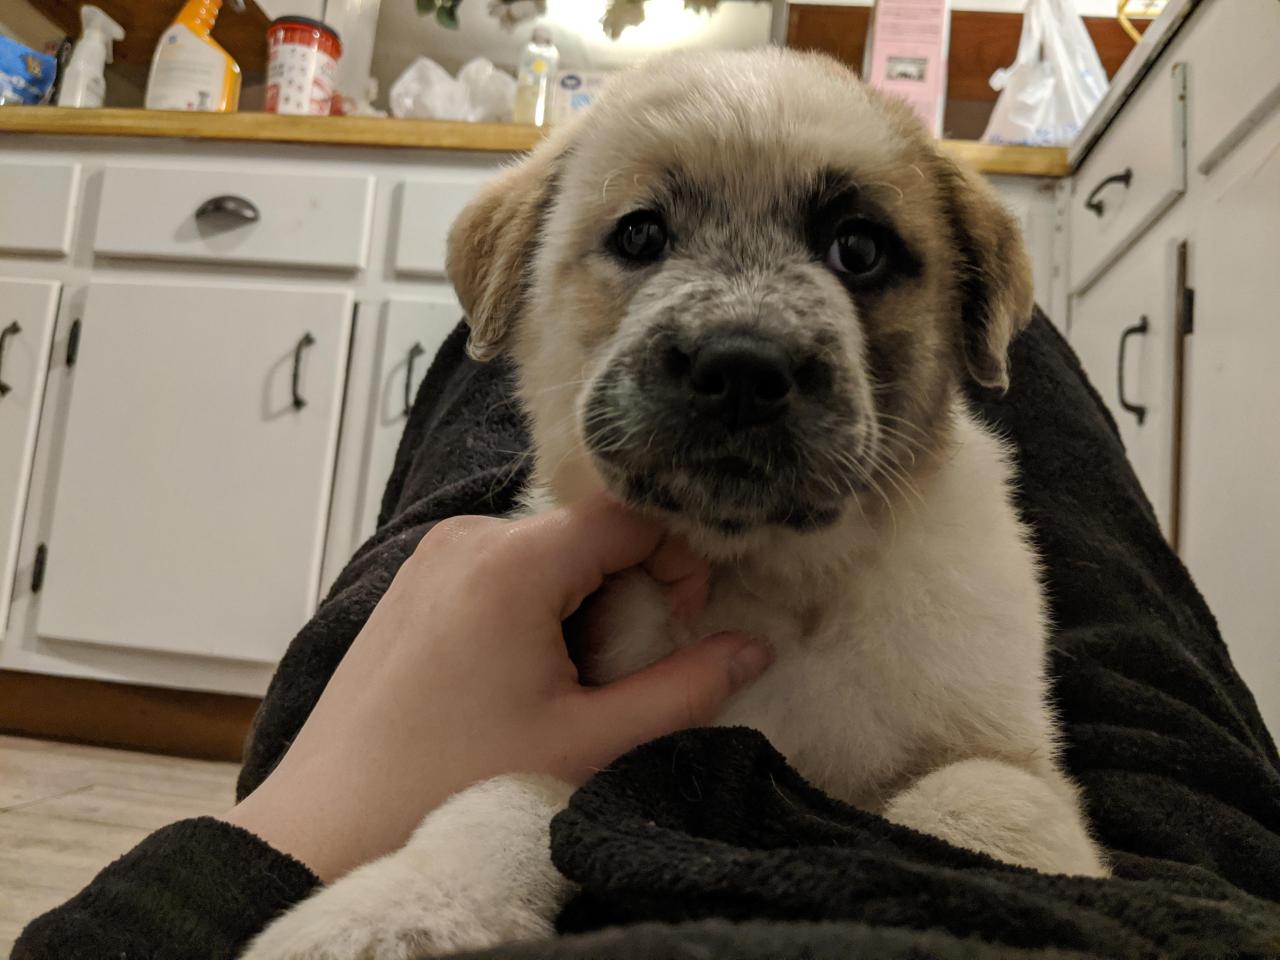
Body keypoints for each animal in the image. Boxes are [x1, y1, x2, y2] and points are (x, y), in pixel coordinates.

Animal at [244, 48, 1105, 960]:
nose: (741, 366)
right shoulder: (586, 733)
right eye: (641, 236)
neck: (763, 581)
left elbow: (968, 806)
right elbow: (517, 792)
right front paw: (394, 909)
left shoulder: (1014, 763)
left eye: (859, 248)